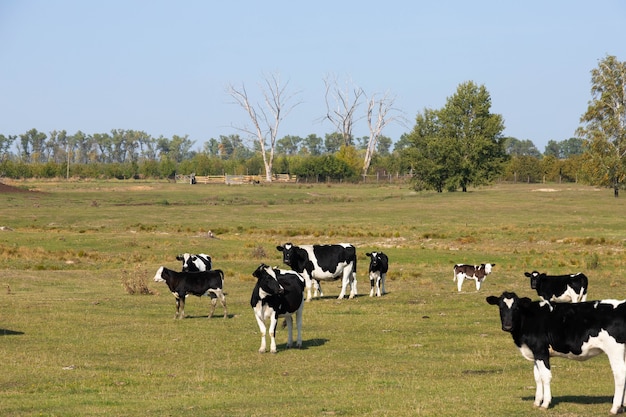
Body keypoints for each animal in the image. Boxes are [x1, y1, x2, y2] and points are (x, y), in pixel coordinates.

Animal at [488, 290, 624, 414]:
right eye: (500, 307)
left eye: (516, 307)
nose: (507, 326)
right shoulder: (535, 353)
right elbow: (537, 377)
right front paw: (536, 402)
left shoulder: (541, 351)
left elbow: (545, 376)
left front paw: (545, 404)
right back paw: (622, 406)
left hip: (614, 350)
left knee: (620, 375)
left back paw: (615, 408)